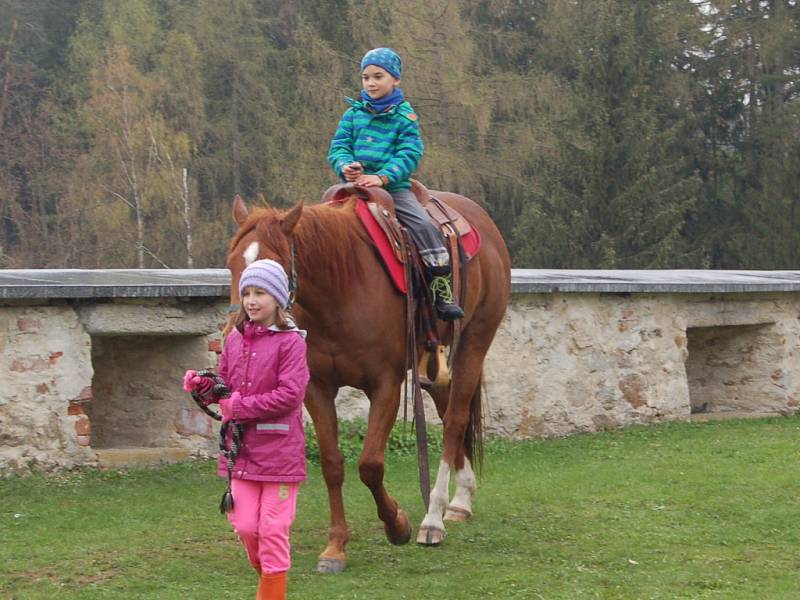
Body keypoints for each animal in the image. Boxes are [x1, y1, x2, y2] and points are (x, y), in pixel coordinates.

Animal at [223, 184, 512, 572]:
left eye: (275, 265)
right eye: (232, 263)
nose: (241, 324)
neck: (342, 288)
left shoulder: (386, 383)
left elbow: (370, 464)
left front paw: (397, 524)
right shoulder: (316, 387)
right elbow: (332, 464)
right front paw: (335, 547)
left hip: (474, 341)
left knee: (454, 420)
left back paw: (433, 520)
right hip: (434, 362)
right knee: (451, 408)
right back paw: (461, 499)